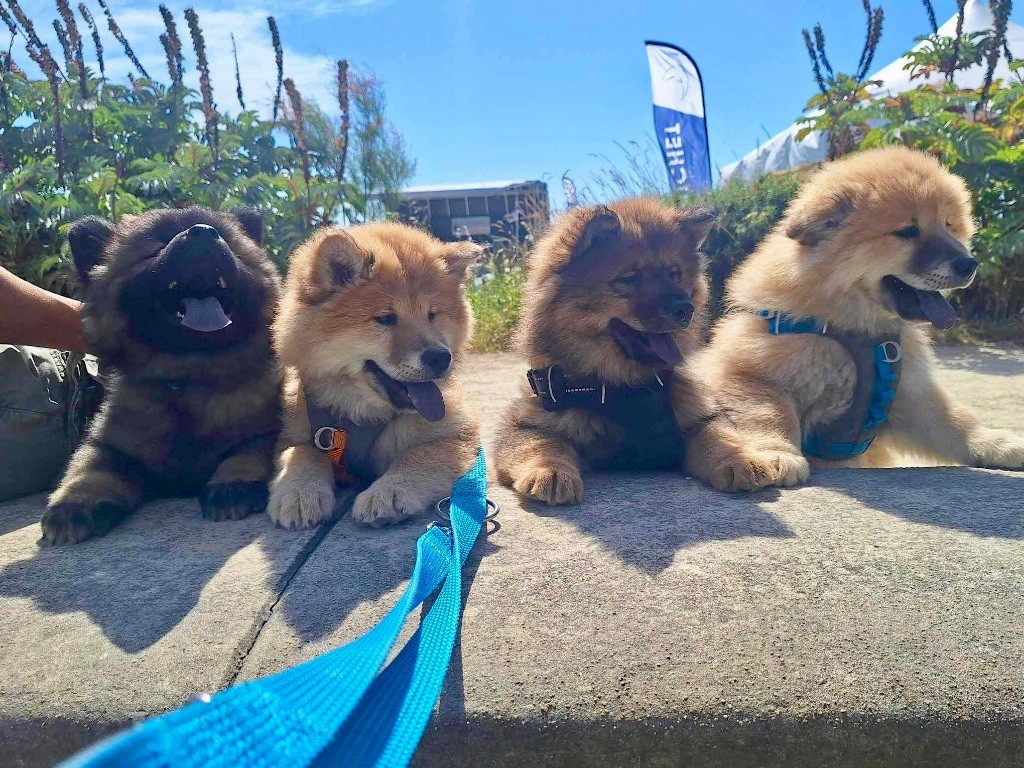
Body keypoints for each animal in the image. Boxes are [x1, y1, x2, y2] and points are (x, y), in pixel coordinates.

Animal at [45, 207, 280, 544]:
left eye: (227, 239)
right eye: (155, 244)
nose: (204, 232)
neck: (189, 379)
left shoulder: (266, 432)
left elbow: (247, 452)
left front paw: (232, 485)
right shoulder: (107, 445)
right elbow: (89, 468)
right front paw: (75, 503)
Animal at [268, 224, 483, 528]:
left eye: (432, 315)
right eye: (385, 319)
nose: (441, 357)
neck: (361, 414)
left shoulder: (458, 432)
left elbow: (418, 456)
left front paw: (389, 491)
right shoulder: (293, 433)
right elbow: (303, 453)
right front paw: (300, 492)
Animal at [684, 147, 1024, 489]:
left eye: (950, 225)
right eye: (907, 232)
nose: (969, 264)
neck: (852, 329)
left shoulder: (909, 395)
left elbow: (956, 423)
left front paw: (1000, 444)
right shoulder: (750, 376)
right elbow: (769, 414)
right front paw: (777, 455)